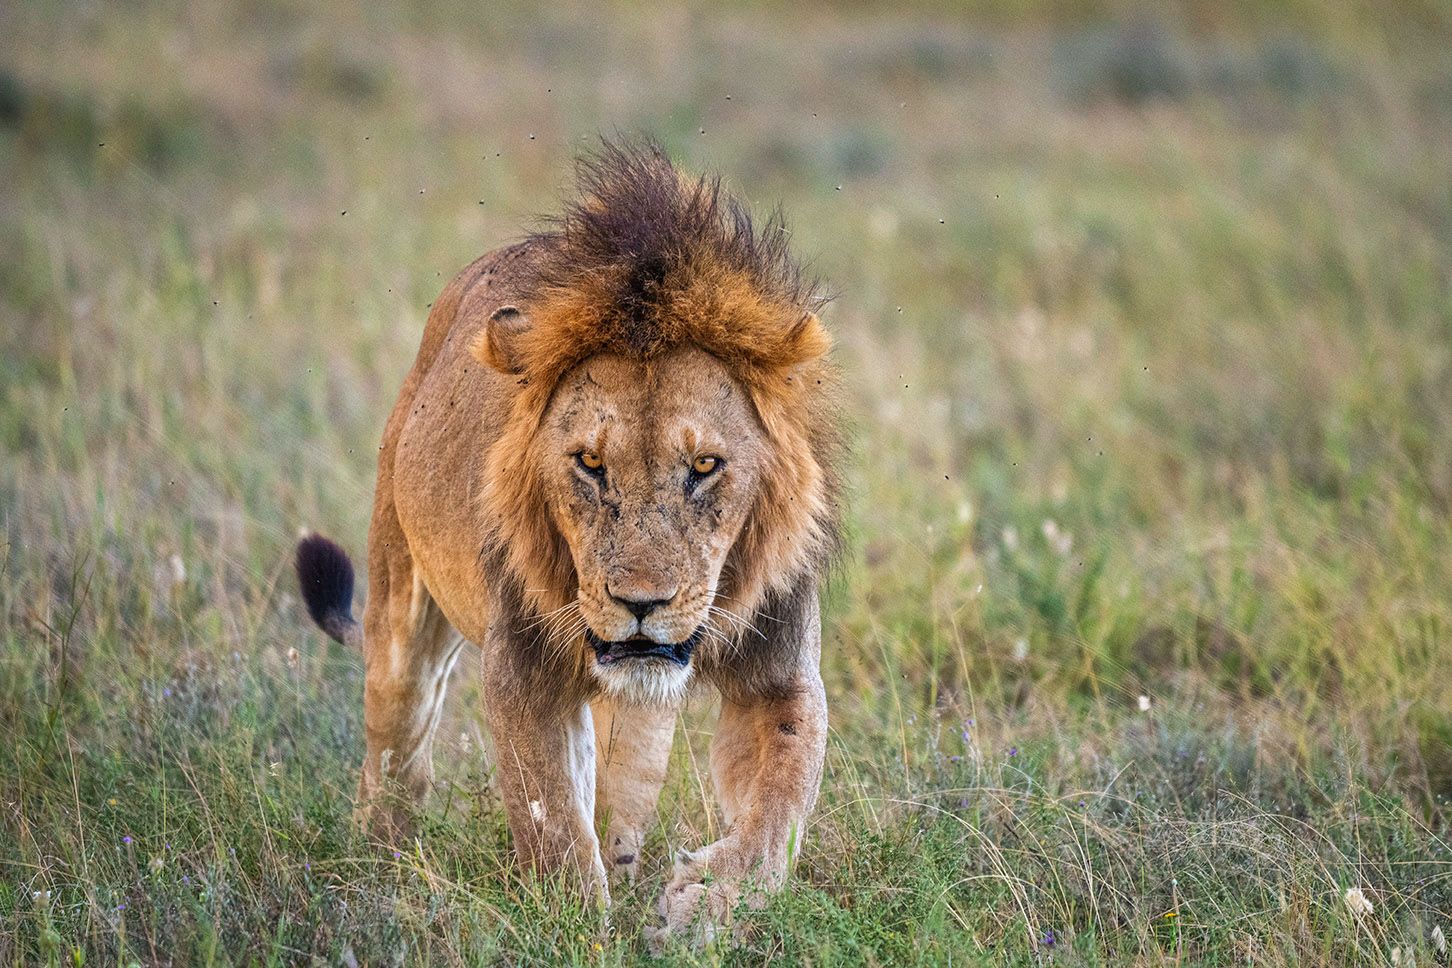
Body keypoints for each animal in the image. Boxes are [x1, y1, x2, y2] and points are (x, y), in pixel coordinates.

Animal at [294, 140, 842, 947]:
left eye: (705, 466)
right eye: (589, 462)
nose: (640, 604)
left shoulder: (777, 677)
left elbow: (778, 814)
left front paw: (705, 904)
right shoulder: (522, 670)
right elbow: (549, 820)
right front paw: (579, 928)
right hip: (401, 598)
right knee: (397, 740)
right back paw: (380, 856)